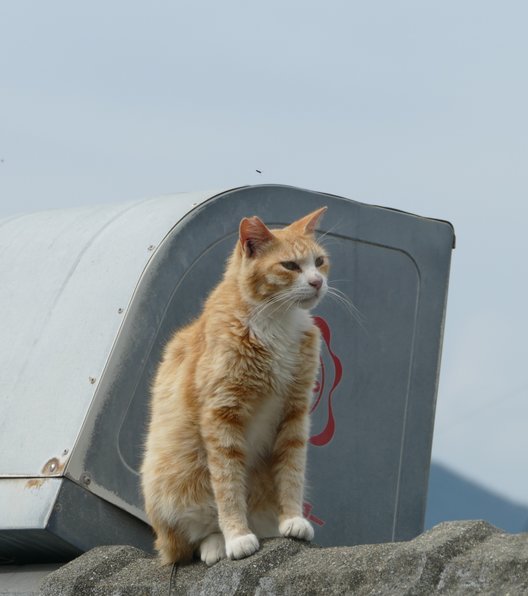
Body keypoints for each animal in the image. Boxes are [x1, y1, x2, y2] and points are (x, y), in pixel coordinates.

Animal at [142, 207, 328, 564]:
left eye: (320, 261)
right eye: (290, 266)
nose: (318, 281)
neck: (277, 321)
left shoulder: (295, 413)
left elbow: (292, 472)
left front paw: (293, 519)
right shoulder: (222, 415)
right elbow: (227, 483)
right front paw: (238, 536)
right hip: (177, 484)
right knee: (192, 536)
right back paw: (217, 543)